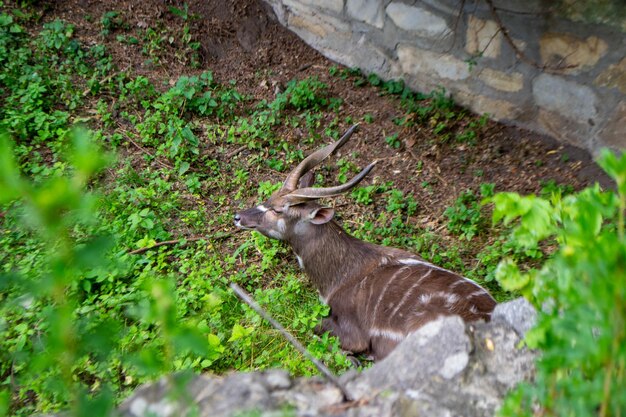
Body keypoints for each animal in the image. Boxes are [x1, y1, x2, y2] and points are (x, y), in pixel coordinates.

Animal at [232, 124, 494, 360]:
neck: (340, 276)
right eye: (270, 197)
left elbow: (318, 329)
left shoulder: (352, 332)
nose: (238, 217)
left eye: (278, 210)